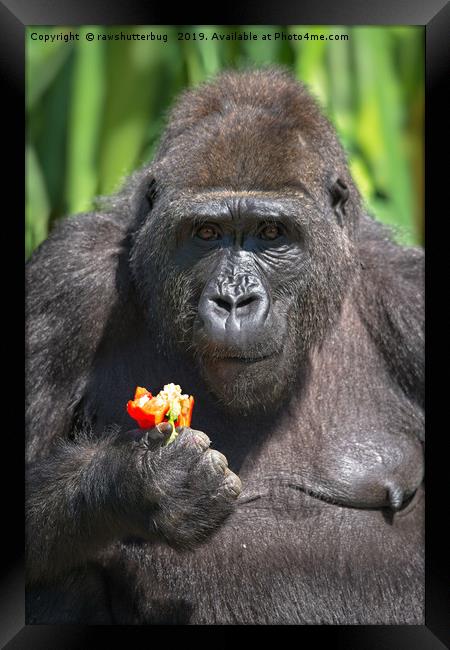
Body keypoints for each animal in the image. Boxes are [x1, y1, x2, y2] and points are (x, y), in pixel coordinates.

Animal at [26, 67, 424, 624]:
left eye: (271, 232)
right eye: (207, 232)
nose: (234, 300)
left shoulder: (411, 299)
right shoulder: (64, 284)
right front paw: (144, 483)